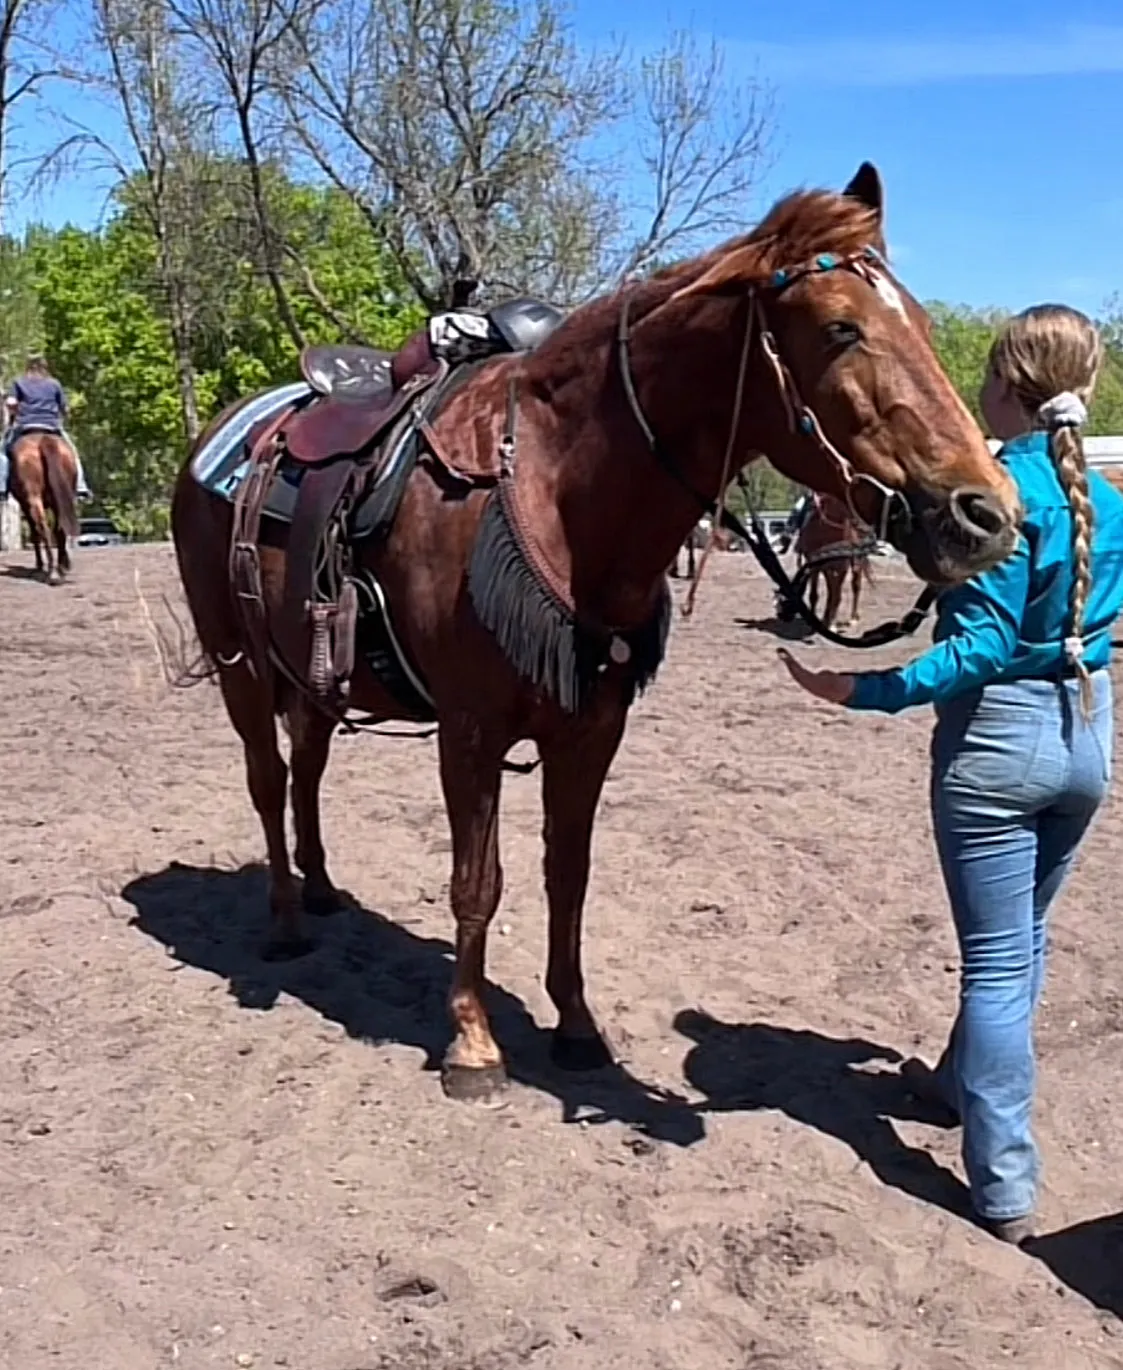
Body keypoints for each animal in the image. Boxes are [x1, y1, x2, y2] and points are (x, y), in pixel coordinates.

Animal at [8, 430, 79, 586]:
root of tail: (44, 440)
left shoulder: (25, 505)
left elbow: (34, 534)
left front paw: (39, 566)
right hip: (59, 500)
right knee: (59, 529)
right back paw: (60, 569)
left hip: (33, 500)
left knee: (42, 529)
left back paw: (51, 572)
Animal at [171, 160, 1024, 1106]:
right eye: (841, 328)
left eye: (919, 322)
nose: (986, 513)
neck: (555, 495)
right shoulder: (470, 732)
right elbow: (477, 881)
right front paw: (473, 1043)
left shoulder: (591, 729)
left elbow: (566, 876)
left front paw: (576, 1027)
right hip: (240, 663)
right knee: (267, 779)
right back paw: (285, 921)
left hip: (312, 671)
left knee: (309, 768)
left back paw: (320, 889)